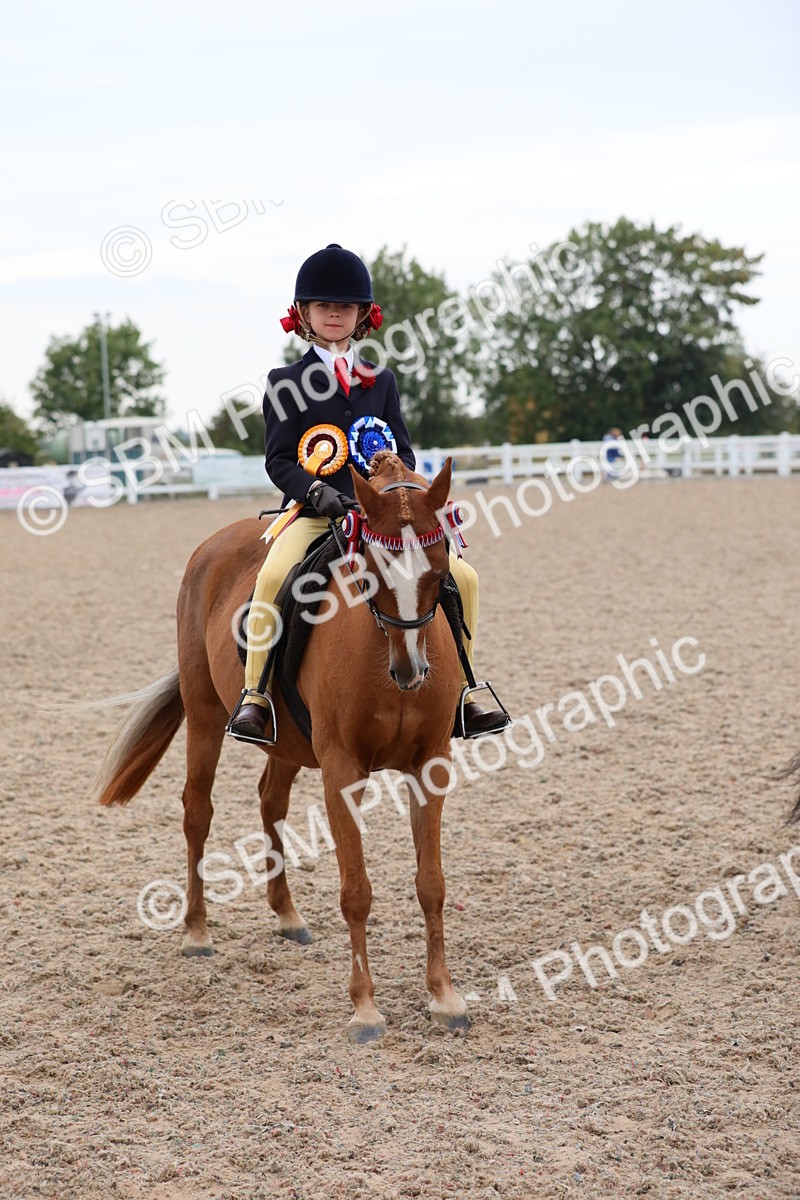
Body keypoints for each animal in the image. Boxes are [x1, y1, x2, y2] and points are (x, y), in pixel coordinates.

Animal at [91, 452, 472, 1043]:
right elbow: (356, 891)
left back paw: (287, 915)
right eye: (374, 570)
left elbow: (431, 883)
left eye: (438, 566)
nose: (411, 670)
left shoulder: (431, 762)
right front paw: (365, 1009)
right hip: (205, 717)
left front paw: (444, 998)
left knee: (270, 801)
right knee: (197, 811)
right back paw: (196, 932)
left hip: (288, 743)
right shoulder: (342, 770)